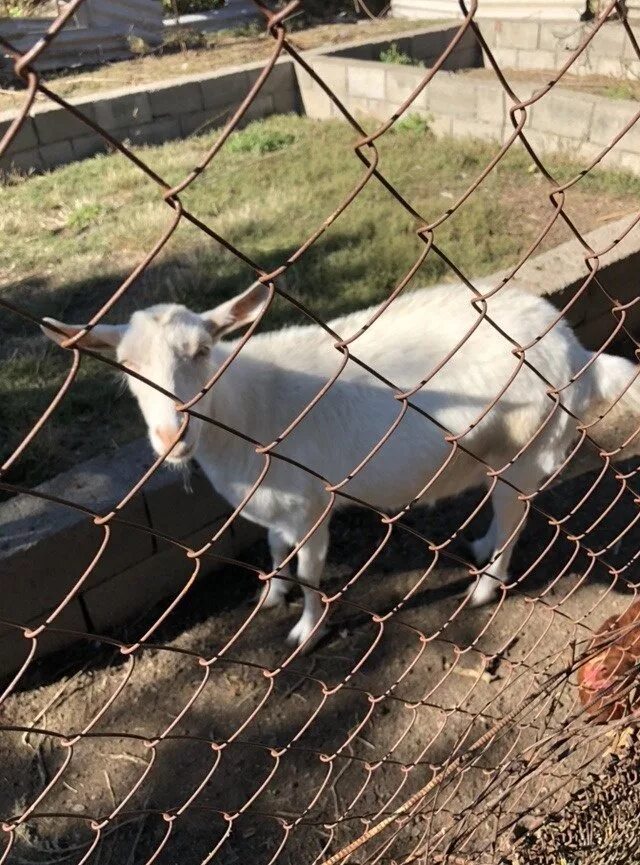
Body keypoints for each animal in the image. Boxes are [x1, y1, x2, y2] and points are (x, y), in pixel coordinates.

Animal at [42, 280, 636, 644]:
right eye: (125, 367)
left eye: (203, 351)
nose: (171, 436)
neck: (246, 410)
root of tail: (577, 354)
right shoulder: (276, 501)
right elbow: (274, 550)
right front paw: (270, 595)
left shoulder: (310, 503)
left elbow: (309, 572)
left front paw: (305, 631)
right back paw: (482, 545)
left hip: (525, 445)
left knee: (517, 518)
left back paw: (486, 587)